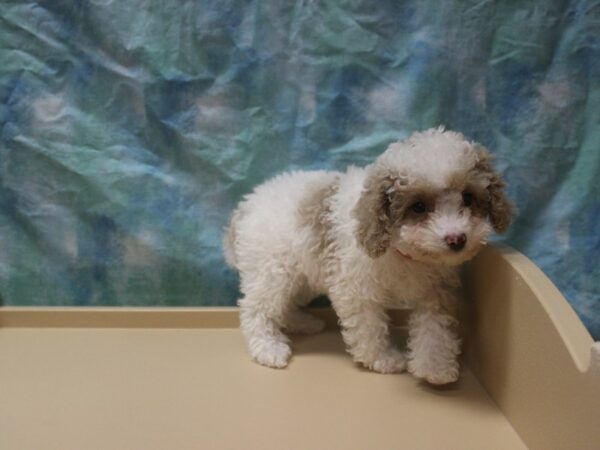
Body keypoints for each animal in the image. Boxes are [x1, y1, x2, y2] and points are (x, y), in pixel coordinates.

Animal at [223, 126, 512, 384]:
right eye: (418, 206)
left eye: (468, 198)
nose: (456, 239)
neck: (403, 252)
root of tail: (245, 206)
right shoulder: (356, 289)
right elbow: (369, 326)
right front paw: (383, 359)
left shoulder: (436, 290)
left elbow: (435, 327)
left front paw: (435, 367)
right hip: (272, 272)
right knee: (256, 309)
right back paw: (268, 347)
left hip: (302, 274)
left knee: (285, 305)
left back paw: (304, 322)